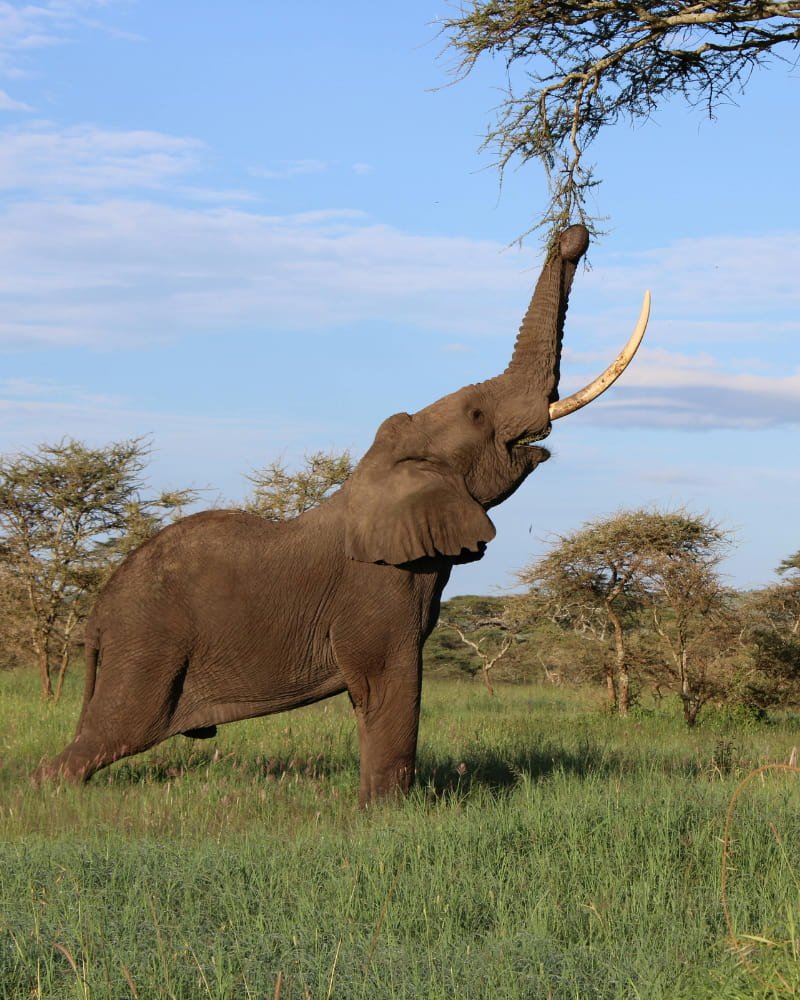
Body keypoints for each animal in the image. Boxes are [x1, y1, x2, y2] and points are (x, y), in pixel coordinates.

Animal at [36, 224, 648, 805]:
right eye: (477, 415)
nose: (573, 236)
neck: (380, 470)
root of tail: (96, 615)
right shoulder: (376, 586)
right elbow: (387, 683)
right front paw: (386, 815)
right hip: (148, 644)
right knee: (116, 730)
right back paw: (54, 793)